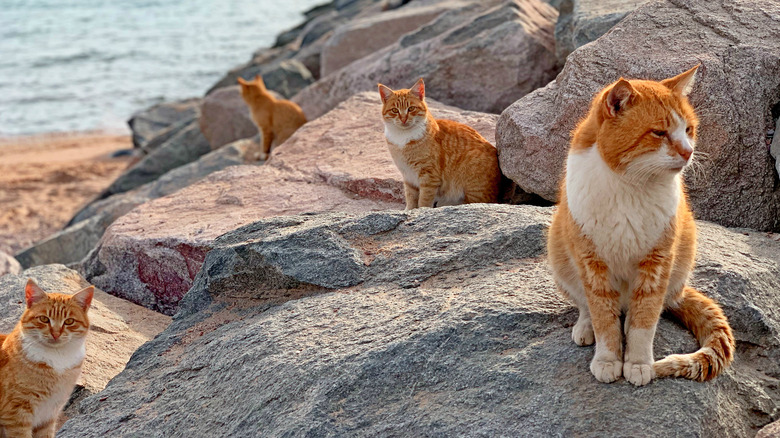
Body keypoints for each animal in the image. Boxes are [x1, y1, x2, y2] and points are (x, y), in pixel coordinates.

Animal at [0, 278, 94, 436]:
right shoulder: (16, 415)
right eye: (44, 319)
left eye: (69, 321)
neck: (57, 359)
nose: (55, 333)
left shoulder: (48, 416)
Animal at [378, 78, 500, 210]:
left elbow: (424, 200)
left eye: (411, 108)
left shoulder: (429, 176)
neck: (402, 138)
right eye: (395, 110)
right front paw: (409, 210)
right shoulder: (408, 177)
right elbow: (410, 197)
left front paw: (422, 210)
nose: (403, 119)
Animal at [544, 63, 736, 384]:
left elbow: (644, 319)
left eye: (688, 130)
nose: (688, 152)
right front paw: (608, 359)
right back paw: (585, 327)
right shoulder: (591, 262)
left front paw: (638, 362)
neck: (630, 186)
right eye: (659, 133)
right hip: (560, 257)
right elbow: (603, 316)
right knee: (586, 305)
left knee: (638, 312)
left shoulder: (657, 261)